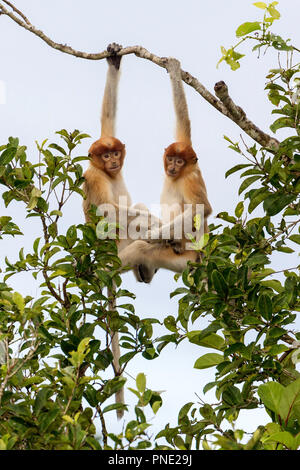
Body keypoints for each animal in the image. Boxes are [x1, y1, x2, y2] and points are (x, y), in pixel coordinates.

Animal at [118, 57, 212, 280]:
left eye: (180, 162)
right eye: (170, 158)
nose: (171, 167)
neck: (179, 176)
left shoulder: (190, 179)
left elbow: (202, 209)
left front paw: (152, 234)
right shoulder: (184, 144)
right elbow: (182, 118)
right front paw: (174, 68)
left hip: (182, 260)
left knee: (141, 249)